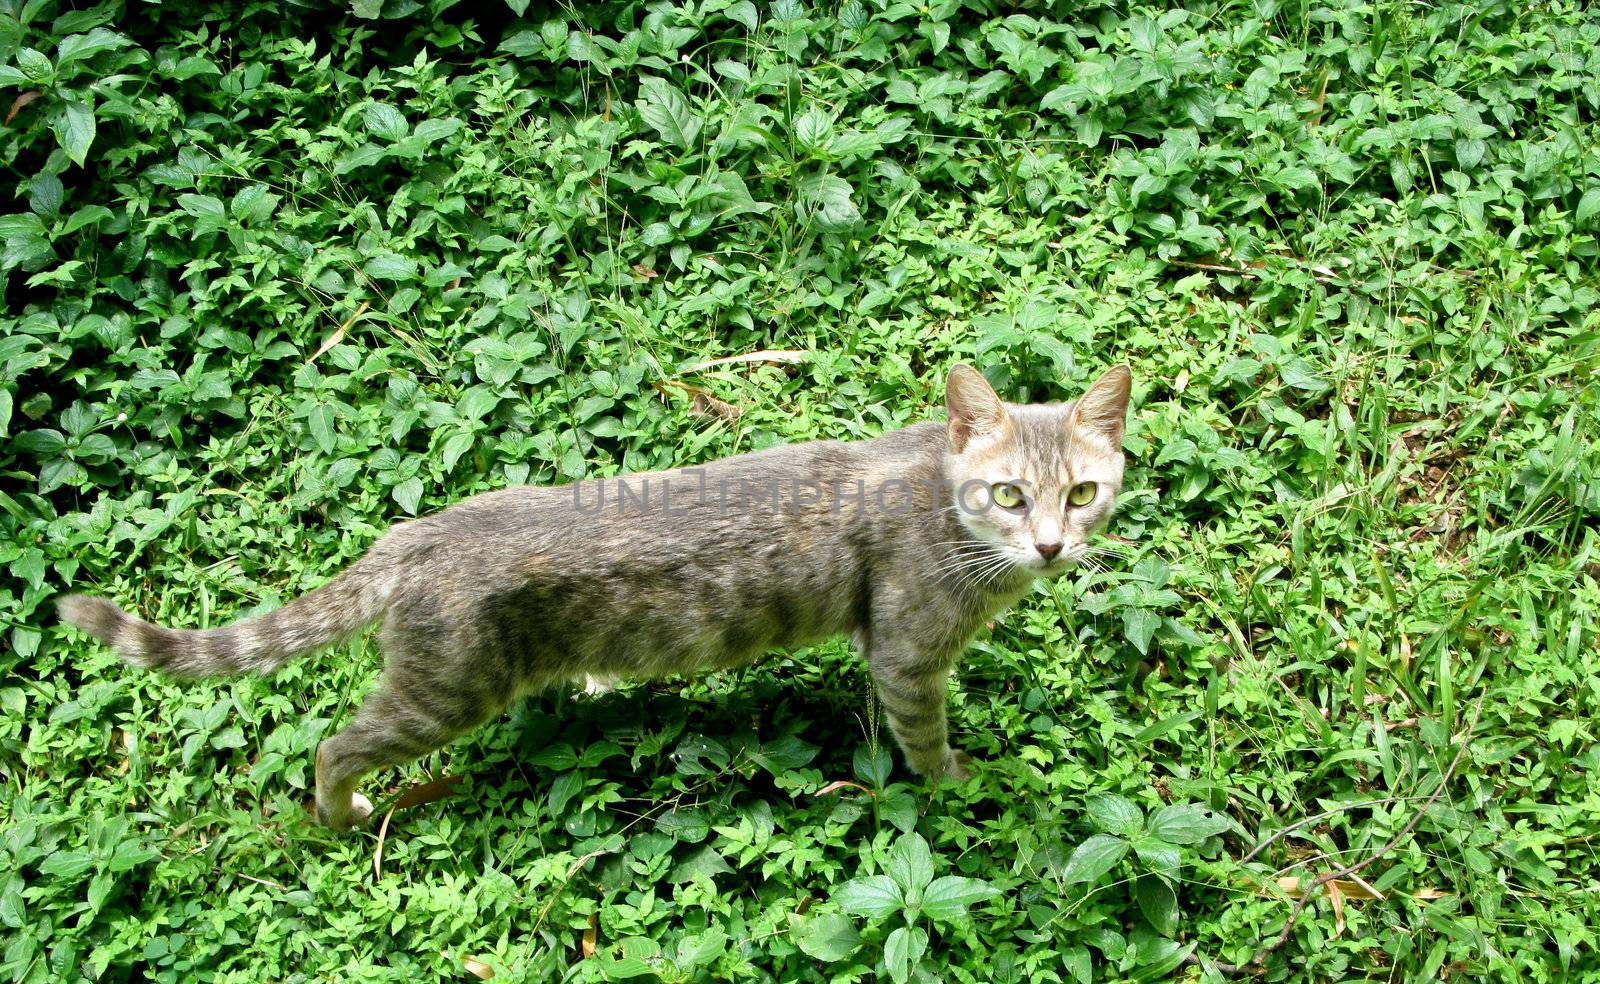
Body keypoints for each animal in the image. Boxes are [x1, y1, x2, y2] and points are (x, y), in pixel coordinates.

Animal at [56, 366, 1132, 825]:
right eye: (1008, 494)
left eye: (1081, 492)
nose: (1050, 545)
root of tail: (414, 534)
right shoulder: (908, 653)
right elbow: (924, 739)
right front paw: (959, 784)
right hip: (443, 692)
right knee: (333, 746)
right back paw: (344, 812)